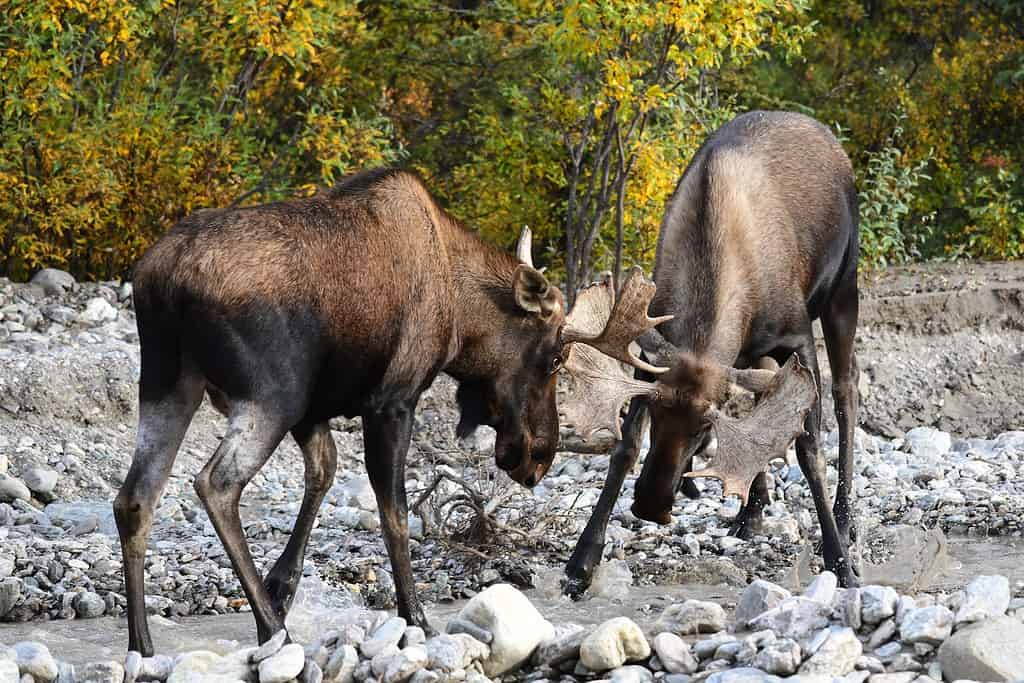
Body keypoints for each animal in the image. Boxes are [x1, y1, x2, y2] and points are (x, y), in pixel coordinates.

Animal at [116, 166, 659, 655]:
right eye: (555, 358)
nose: (538, 457)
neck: (462, 318)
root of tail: (160, 280)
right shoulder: (392, 400)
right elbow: (394, 510)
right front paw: (415, 616)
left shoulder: (317, 409)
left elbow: (324, 474)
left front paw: (282, 585)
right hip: (270, 395)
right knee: (215, 483)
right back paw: (273, 630)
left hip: (167, 381)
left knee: (135, 498)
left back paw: (143, 645)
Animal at [561, 111, 864, 593]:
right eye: (654, 410)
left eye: (705, 425)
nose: (649, 505)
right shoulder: (653, 350)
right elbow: (625, 448)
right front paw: (582, 560)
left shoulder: (796, 338)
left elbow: (810, 449)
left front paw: (839, 562)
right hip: (762, 351)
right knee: (762, 402)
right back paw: (751, 512)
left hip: (843, 288)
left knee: (847, 391)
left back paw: (845, 519)